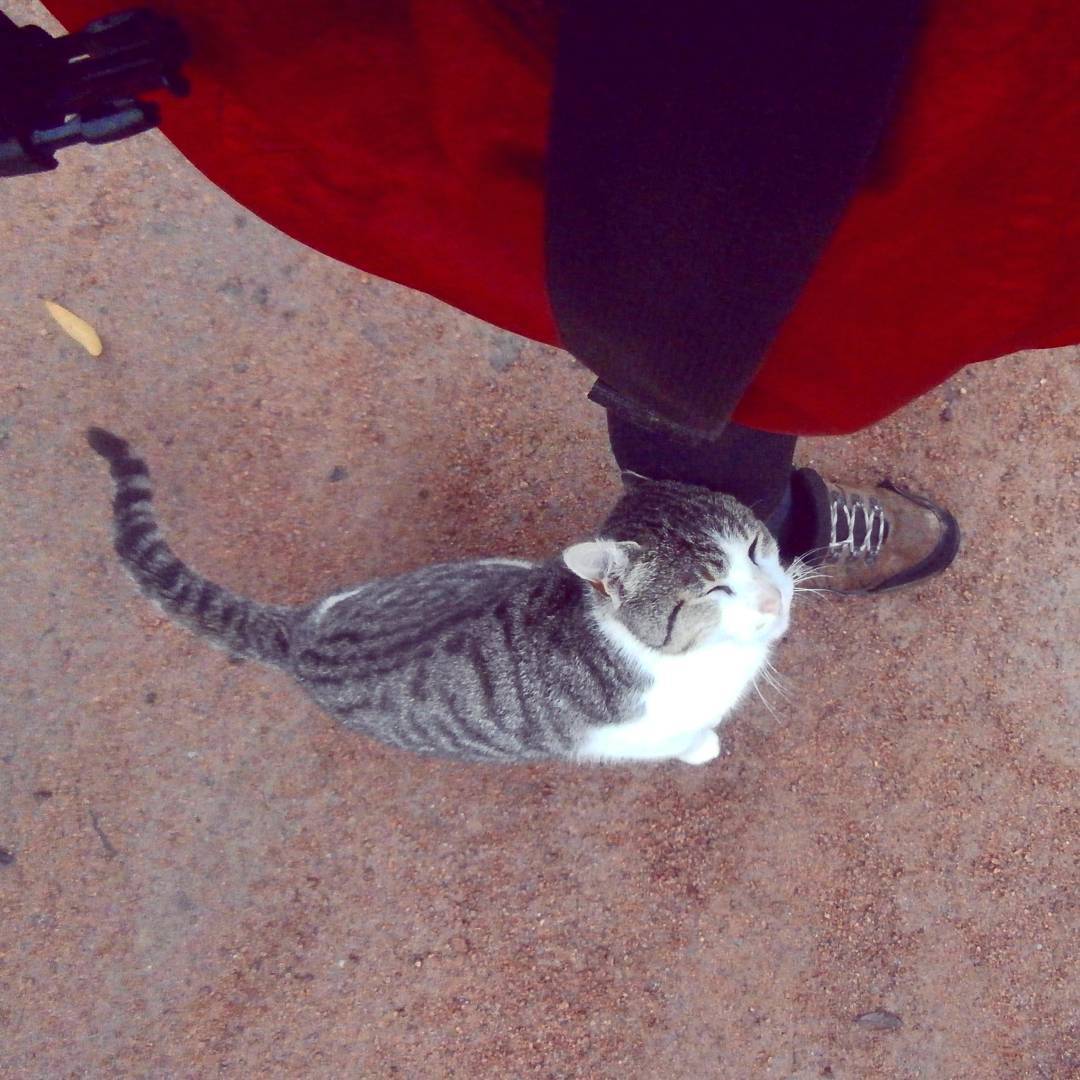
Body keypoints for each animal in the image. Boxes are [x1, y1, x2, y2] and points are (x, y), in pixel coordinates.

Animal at [86, 425, 794, 764]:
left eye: (755, 549)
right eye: (712, 588)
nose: (773, 600)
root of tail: (301, 634)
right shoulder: (632, 735)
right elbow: (681, 740)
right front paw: (702, 748)